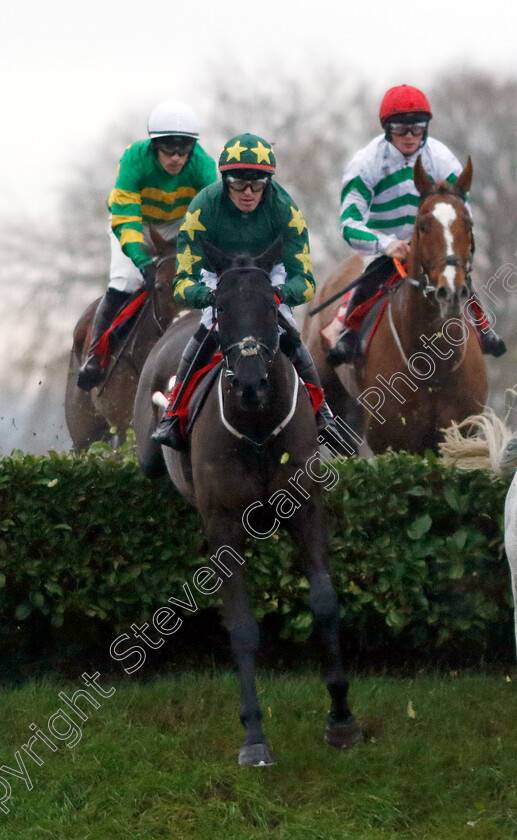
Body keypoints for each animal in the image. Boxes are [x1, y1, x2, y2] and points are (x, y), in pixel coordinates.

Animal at [132, 241, 362, 768]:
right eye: (222, 309)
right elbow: (241, 625)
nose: (253, 384)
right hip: (146, 449)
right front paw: (254, 735)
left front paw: (341, 715)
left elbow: (324, 603)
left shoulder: (305, 511)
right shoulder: (224, 526)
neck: (256, 428)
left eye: (270, 307)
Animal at [300, 160, 486, 456]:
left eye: (468, 224)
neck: (434, 366)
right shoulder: (392, 441)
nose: (450, 291)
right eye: (423, 225)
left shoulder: (460, 434)